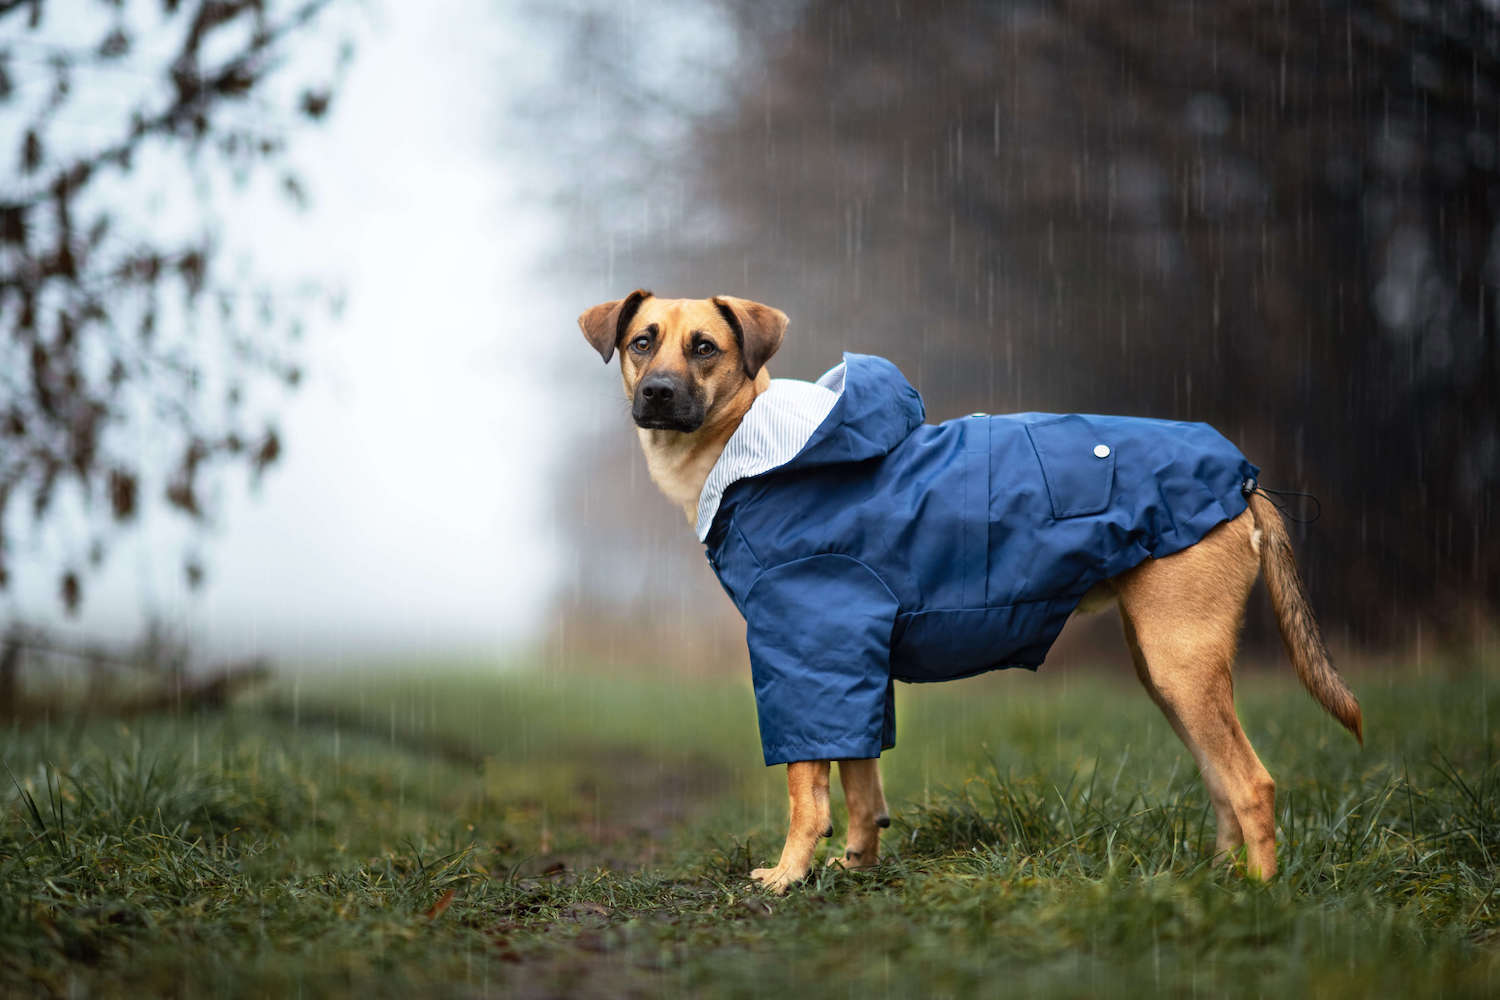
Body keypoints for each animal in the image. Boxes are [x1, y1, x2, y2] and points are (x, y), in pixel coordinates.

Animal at [573, 289, 1362, 893]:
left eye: (704, 348)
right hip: (1167, 672)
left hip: (1182, 662)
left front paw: (790, 875)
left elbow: (808, 793)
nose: (658, 393)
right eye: (643, 342)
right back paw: (1220, 877)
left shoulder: (810, 656)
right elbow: (861, 783)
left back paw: (1256, 895)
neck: (760, 450)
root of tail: (1243, 475)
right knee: (1220, 782)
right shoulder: (854, 663)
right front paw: (856, 865)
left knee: (1252, 784)